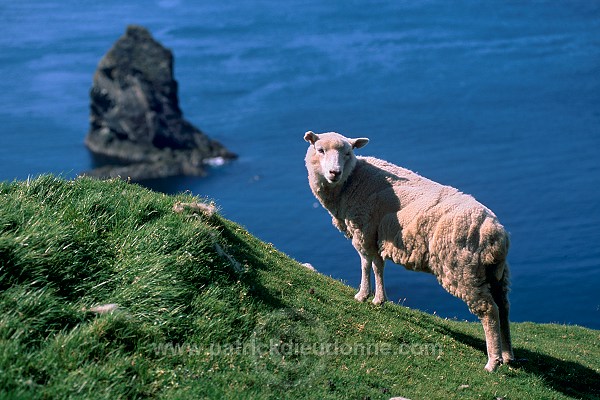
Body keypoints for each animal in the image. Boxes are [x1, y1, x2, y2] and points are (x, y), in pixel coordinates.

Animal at [304, 131, 516, 372]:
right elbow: (378, 266)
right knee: (504, 306)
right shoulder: (377, 235)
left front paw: (362, 295)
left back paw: (493, 361)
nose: (334, 173)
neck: (352, 181)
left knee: (489, 312)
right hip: (495, 273)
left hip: (464, 271)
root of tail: (497, 234)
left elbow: (365, 264)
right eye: (320, 150)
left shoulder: (363, 230)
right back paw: (508, 355)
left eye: (348, 153)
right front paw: (379, 299)